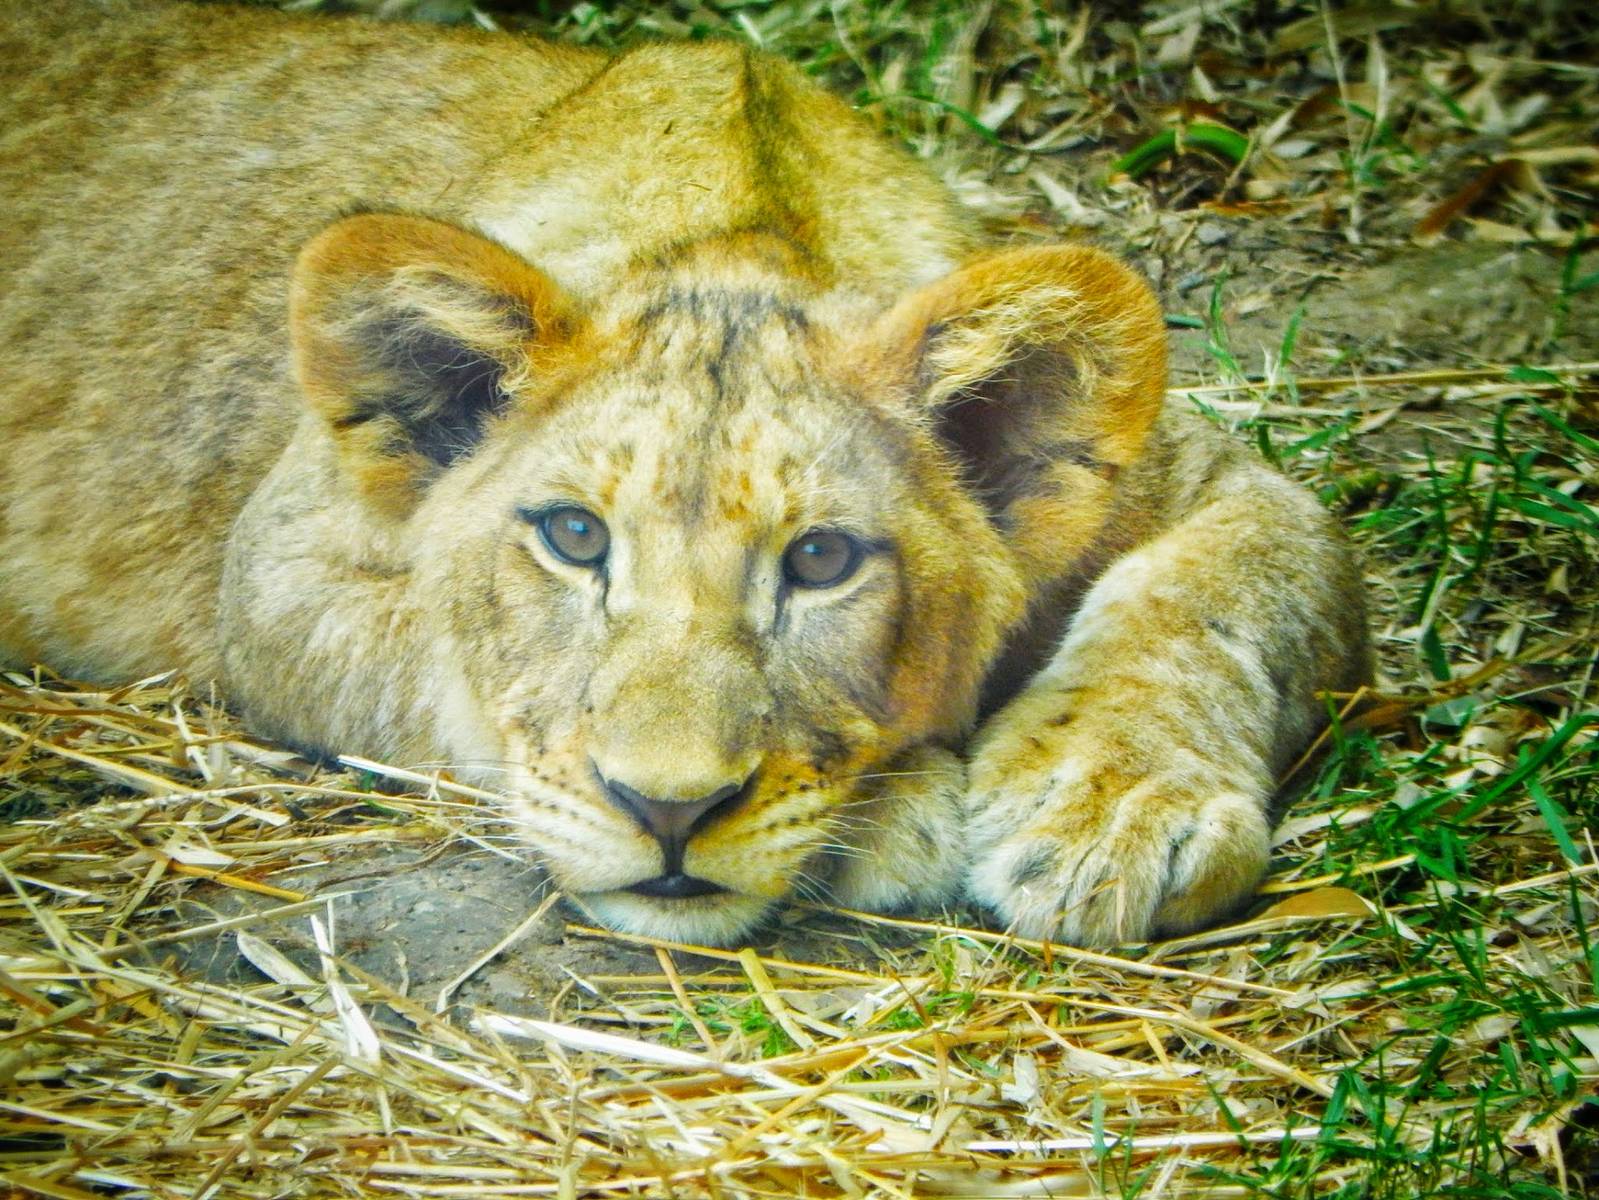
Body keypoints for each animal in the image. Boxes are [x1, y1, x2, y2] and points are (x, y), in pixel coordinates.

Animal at [0, 0, 1369, 947]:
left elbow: (1235, 582)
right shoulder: (277, 561)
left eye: (821, 559)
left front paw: (1122, 807)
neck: (742, 224)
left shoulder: (1216, 481)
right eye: (573, 538)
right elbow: (457, 674)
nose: (667, 813)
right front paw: (902, 810)